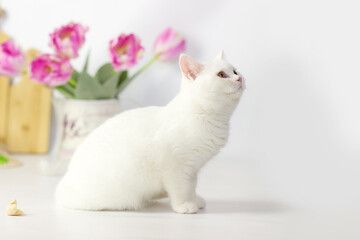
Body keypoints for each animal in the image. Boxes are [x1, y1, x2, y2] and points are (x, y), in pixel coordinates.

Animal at [55, 51, 245, 214]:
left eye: (235, 70)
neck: (209, 116)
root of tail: (64, 183)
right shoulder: (176, 167)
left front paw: (194, 201)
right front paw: (184, 205)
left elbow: (191, 187)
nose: (240, 78)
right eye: (221, 75)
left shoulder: (192, 170)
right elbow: (181, 189)